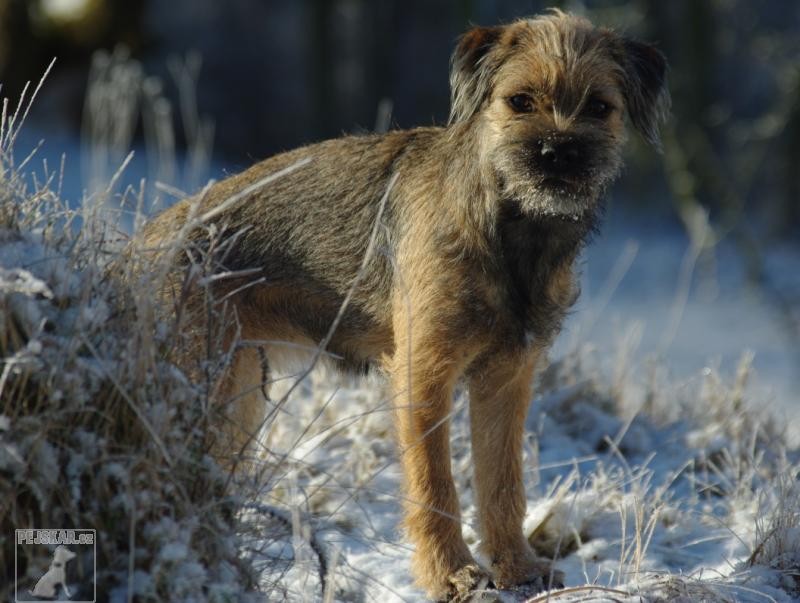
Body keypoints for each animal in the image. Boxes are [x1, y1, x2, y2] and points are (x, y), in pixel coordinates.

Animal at [142, 10, 668, 603]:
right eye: (520, 101)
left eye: (599, 106)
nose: (557, 152)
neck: (508, 227)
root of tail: (141, 243)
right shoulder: (425, 374)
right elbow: (434, 485)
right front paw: (452, 575)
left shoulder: (507, 378)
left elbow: (502, 482)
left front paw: (518, 569)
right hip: (199, 383)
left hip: (239, 394)